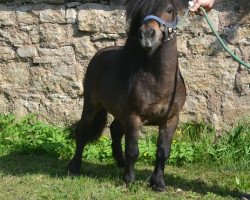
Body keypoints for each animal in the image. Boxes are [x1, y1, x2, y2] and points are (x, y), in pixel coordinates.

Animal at [68, 0, 186, 191]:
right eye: (142, 11)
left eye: (169, 10)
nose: (147, 35)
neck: (158, 81)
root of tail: (99, 54)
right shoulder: (133, 117)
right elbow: (132, 150)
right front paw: (129, 180)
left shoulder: (170, 120)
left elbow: (163, 152)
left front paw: (158, 183)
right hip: (92, 105)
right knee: (83, 132)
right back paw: (74, 167)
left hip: (119, 112)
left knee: (115, 130)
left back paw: (120, 163)